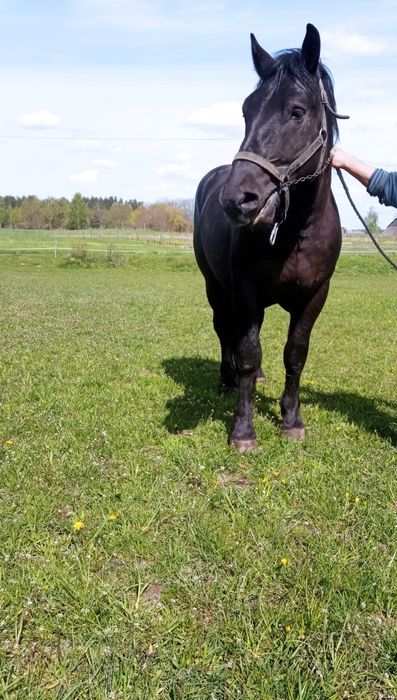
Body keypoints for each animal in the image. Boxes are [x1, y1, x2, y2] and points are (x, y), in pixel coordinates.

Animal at [193, 23, 344, 454]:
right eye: (246, 110)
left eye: (297, 111)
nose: (237, 199)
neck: (296, 232)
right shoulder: (244, 291)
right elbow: (246, 351)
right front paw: (243, 430)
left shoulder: (315, 296)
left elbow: (295, 354)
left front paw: (291, 419)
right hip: (215, 286)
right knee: (224, 330)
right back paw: (228, 382)